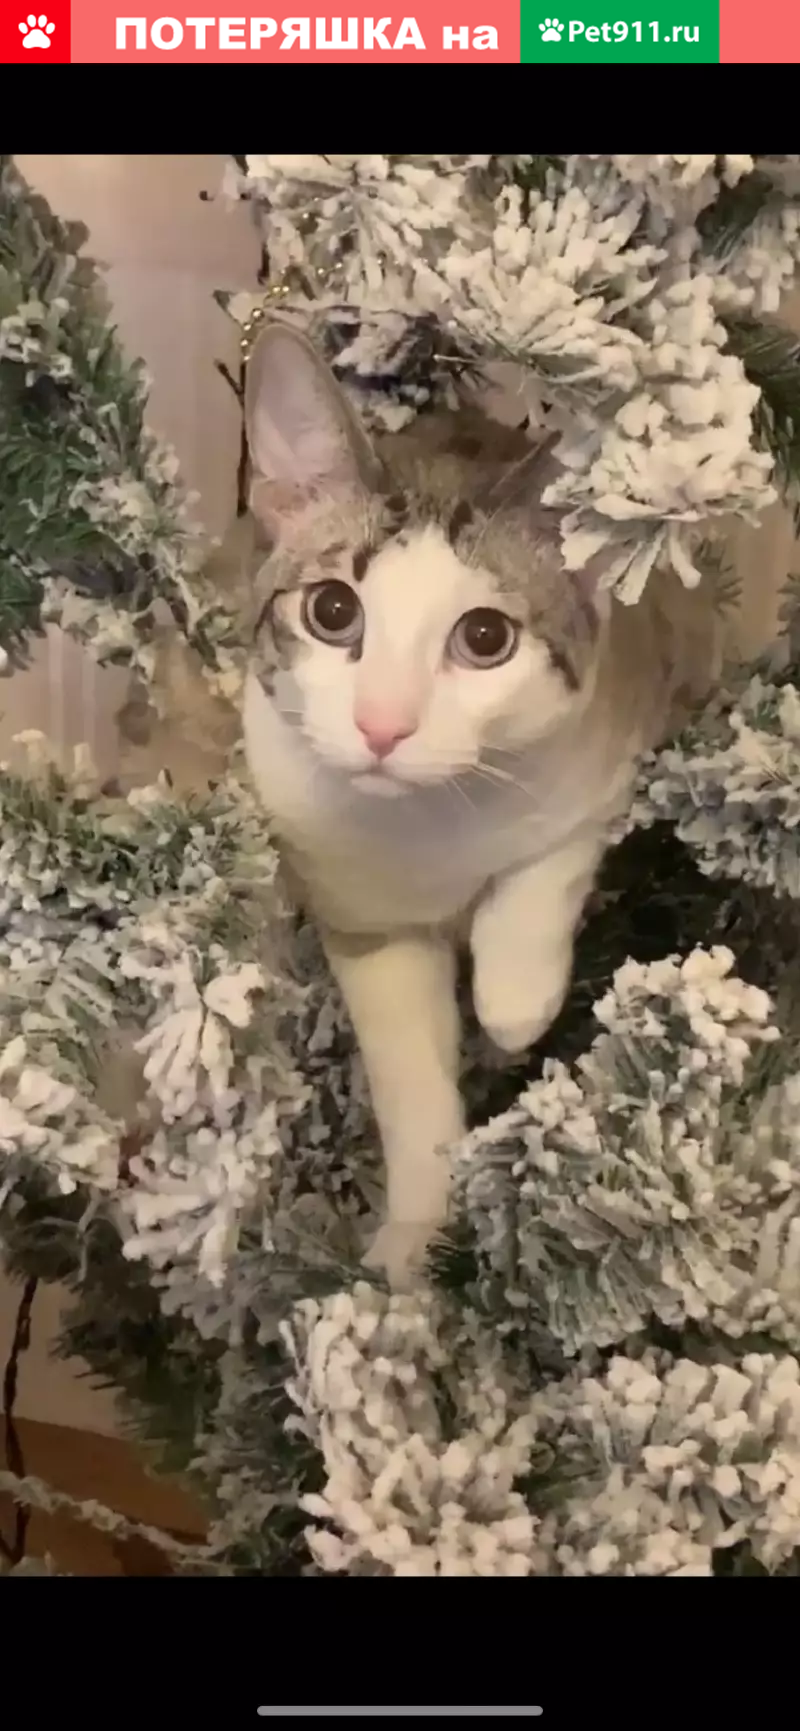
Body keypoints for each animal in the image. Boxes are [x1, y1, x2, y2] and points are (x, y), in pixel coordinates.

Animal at [241, 321, 722, 1288]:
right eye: (332, 609)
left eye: (486, 637)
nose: (382, 726)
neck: (429, 826)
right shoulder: (352, 900)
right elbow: (409, 1079)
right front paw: (408, 1244)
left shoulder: (615, 727)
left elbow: (546, 860)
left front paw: (512, 1000)